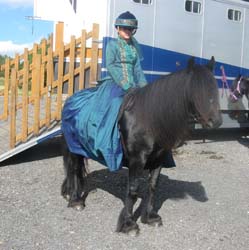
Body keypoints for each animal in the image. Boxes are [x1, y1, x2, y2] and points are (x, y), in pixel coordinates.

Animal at [60, 56, 222, 234]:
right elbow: (133, 190)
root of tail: (70, 99)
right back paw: (75, 201)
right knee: (73, 169)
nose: (216, 121)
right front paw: (128, 224)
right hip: (74, 147)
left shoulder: (159, 159)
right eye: (196, 89)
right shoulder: (137, 160)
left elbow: (152, 187)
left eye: (214, 88)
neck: (149, 119)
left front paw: (150, 218)